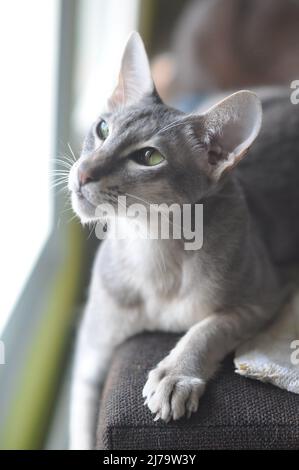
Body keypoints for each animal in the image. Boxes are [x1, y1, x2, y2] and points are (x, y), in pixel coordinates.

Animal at [68, 31, 299, 450]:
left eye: (149, 157)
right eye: (103, 129)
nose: (83, 173)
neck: (151, 248)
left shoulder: (265, 297)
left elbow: (207, 328)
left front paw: (174, 376)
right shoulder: (89, 361)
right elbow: (80, 430)